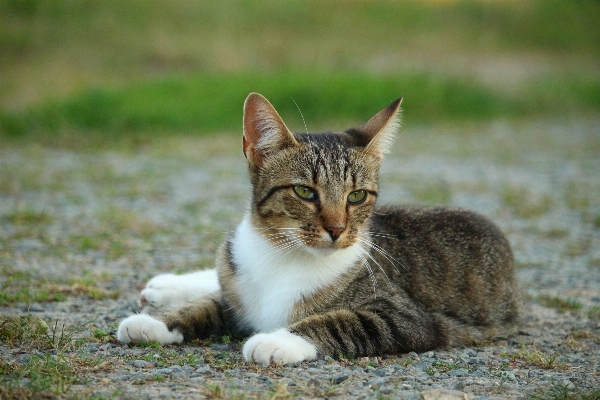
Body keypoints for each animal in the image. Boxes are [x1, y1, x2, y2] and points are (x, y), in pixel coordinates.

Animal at [117, 92, 520, 364]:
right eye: (304, 191)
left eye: (357, 196)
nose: (338, 229)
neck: (282, 254)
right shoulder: (237, 294)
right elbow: (208, 304)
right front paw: (155, 323)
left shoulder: (410, 318)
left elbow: (340, 322)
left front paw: (275, 340)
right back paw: (168, 287)